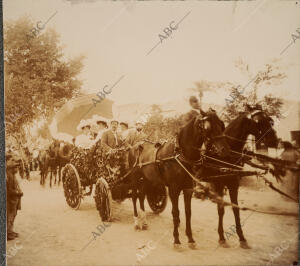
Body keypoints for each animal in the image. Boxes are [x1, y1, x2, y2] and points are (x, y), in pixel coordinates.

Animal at [129, 111, 230, 247]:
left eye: (221, 124)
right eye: (208, 127)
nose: (225, 149)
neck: (180, 154)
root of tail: (135, 145)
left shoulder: (188, 189)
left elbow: (188, 212)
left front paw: (190, 238)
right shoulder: (174, 189)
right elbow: (176, 213)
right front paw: (176, 239)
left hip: (146, 179)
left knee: (141, 196)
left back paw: (144, 222)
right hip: (135, 179)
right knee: (135, 196)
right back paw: (136, 221)